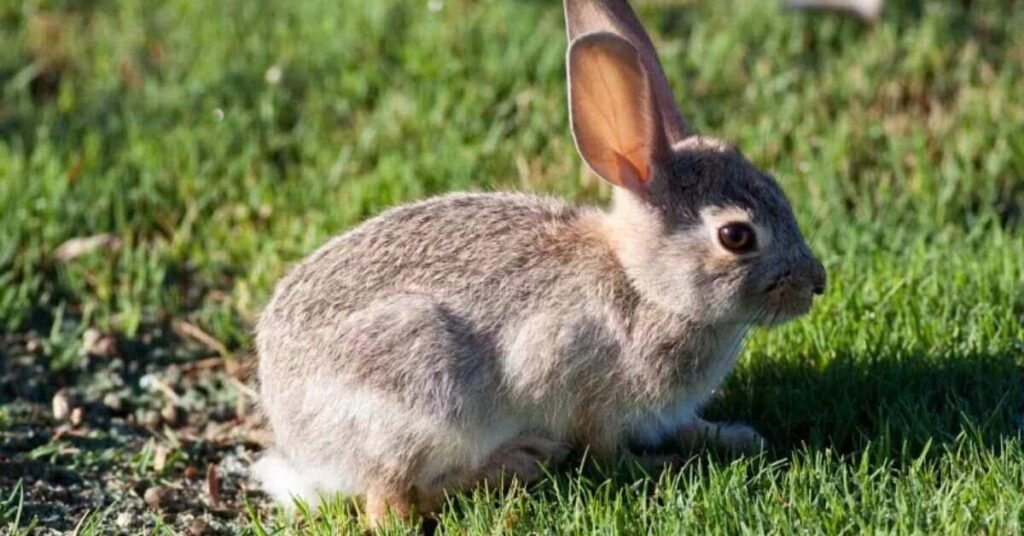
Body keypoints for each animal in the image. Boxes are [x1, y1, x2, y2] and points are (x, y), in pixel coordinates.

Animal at [253, 0, 826, 527]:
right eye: (736, 236)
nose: (816, 283)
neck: (644, 285)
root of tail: (299, 442)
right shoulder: (582, 386)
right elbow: (607, 451)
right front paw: (662, 464)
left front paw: (733, 436)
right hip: (422, 388)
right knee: (393, 506)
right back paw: (521, 461)